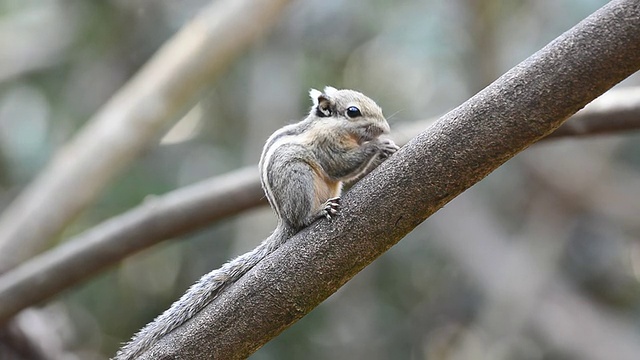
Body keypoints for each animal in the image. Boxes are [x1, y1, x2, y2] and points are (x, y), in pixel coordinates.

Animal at [114, 87, 396, 360]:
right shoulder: (326, 147)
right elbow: (340, 165)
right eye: (353, 112)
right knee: (303, 218)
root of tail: (285, 220)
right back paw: (316, 213)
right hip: (298, 177)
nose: (385, 129)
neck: (329, 126)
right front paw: (378, 145)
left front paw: (387, 147)